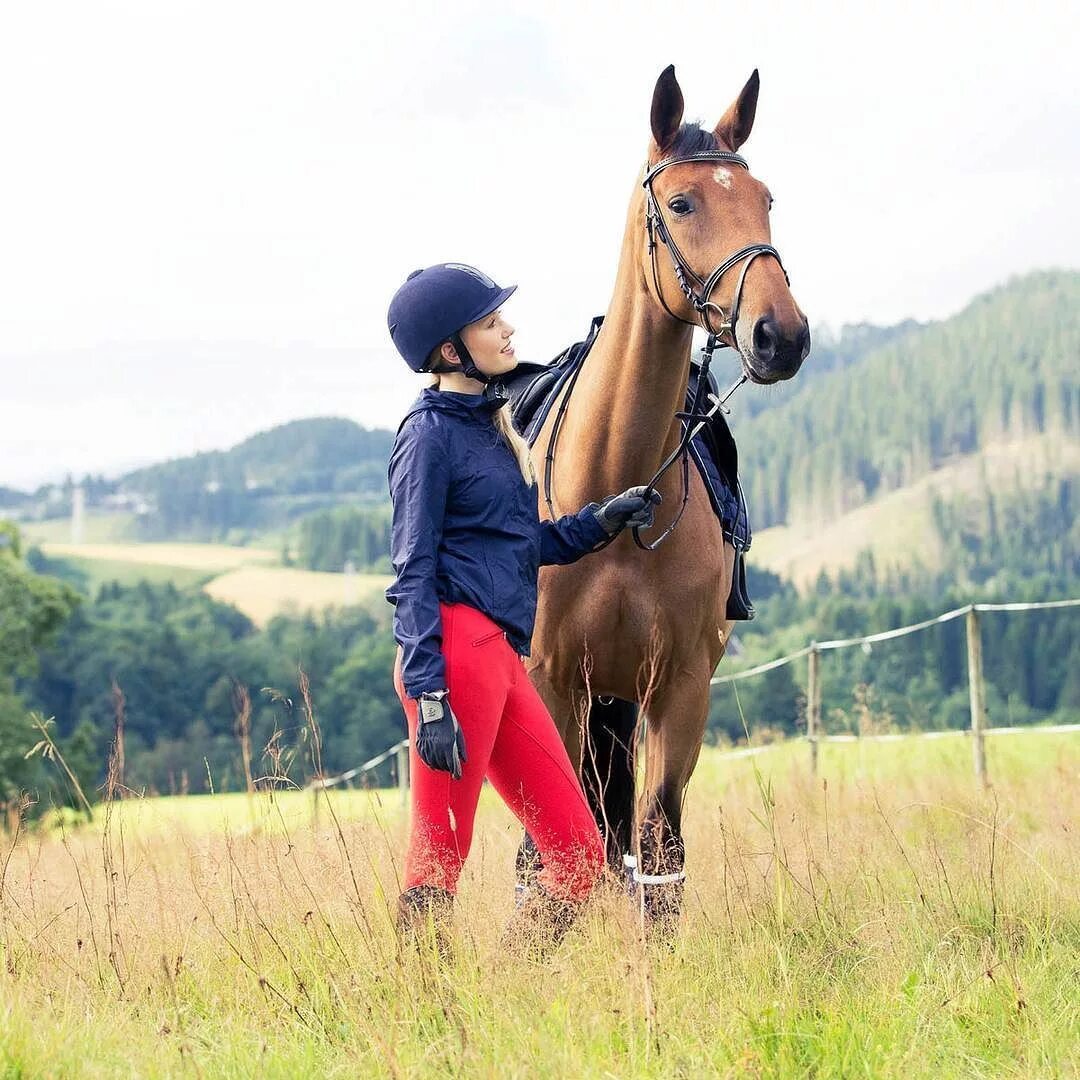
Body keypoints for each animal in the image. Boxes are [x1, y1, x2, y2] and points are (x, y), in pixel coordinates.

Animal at [522, 67, 812, 924]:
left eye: (767, 201)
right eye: (681, 204)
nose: (781, 335)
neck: (616, 490)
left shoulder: (681, 688)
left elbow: (658, 850)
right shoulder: (554, 683)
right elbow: (557, 850)